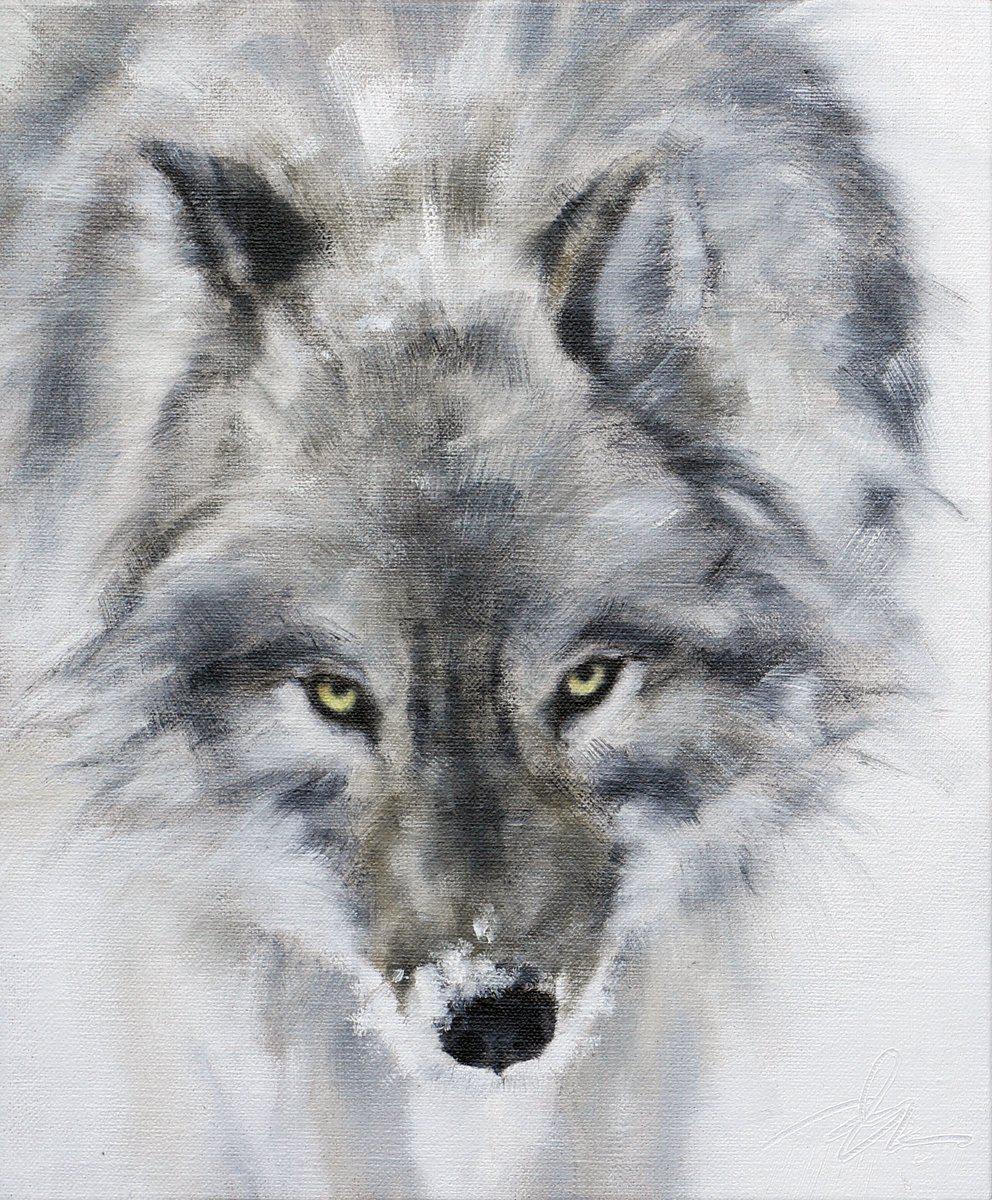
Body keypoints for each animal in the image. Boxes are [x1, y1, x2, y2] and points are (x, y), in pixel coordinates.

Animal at [0, 2, 925, 1197]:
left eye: (587, 681)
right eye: (336, 696)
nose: (492, 1024)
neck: (433, 185)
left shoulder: (677, 911)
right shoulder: (240, 913)